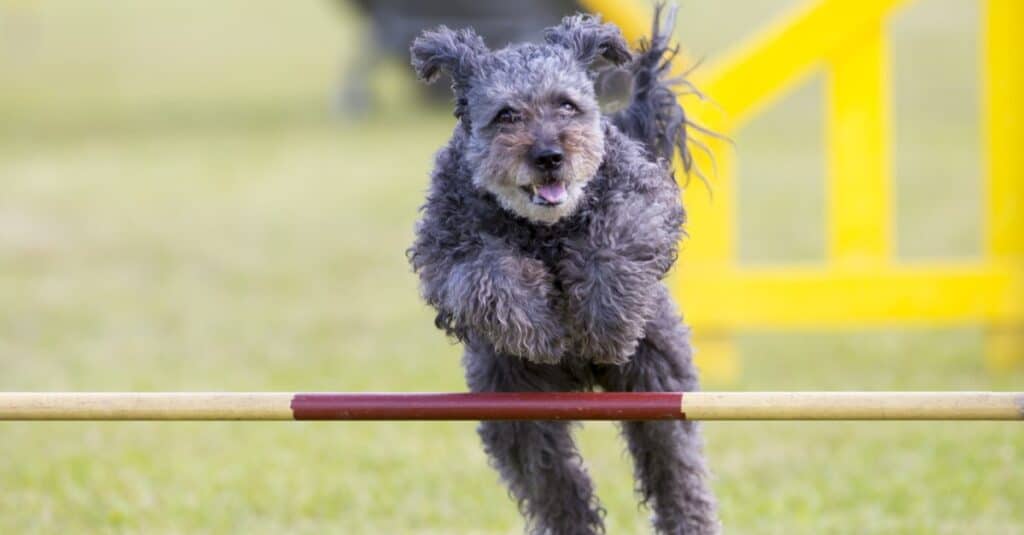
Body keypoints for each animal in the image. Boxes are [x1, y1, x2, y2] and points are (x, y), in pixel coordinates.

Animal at [403, 5, 716, 532]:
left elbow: (613, 246)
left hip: (657, 383)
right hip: (518, 411)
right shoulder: (447, 250)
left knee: (675, 467)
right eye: (506, 114)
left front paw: (603, 327)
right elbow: (489, 277)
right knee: (554, 479)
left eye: (566, 105)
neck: (545, 230)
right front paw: (542, 330)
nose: (549, 156)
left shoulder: (641, 203)